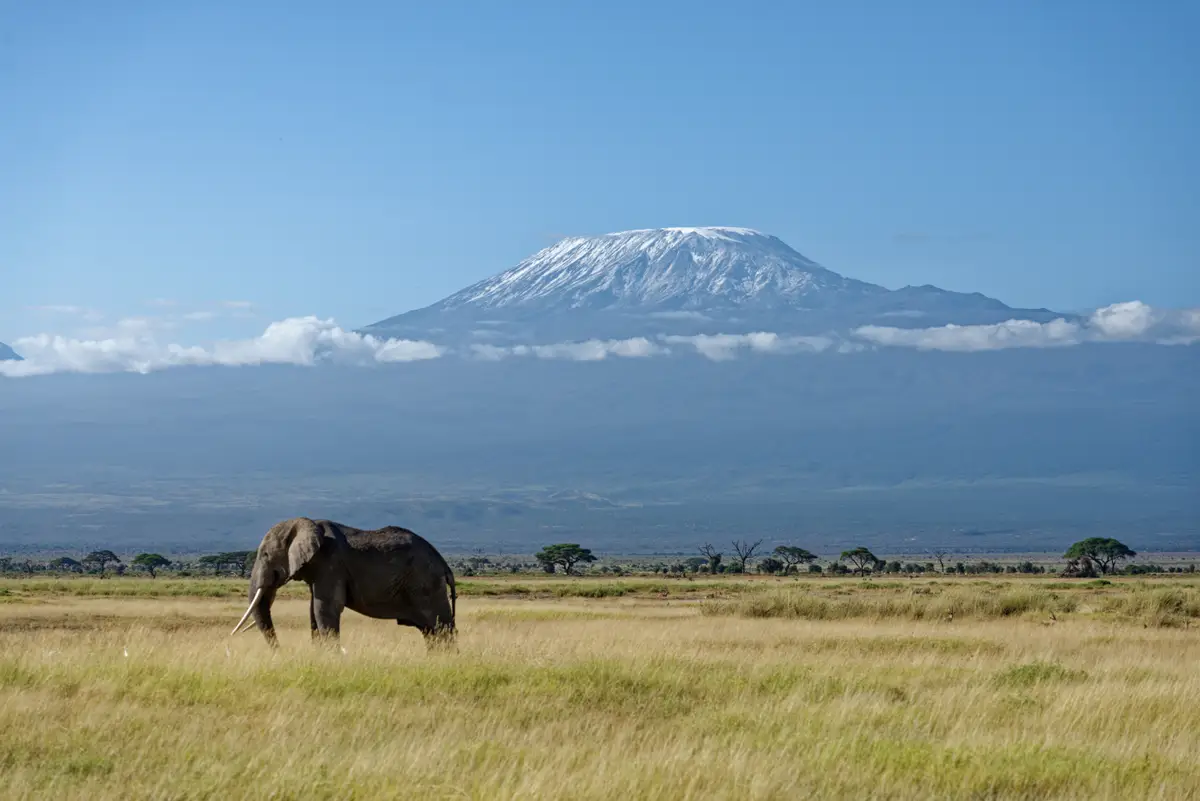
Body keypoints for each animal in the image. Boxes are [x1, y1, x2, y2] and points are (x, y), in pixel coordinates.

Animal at [230, 517, 456, 649]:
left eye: (265, 555)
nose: (281, 651)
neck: (308, 522)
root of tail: (444, 563)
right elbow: (313, 612)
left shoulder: (331, 564)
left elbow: (324, 609)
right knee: (432, 631)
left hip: (426, 584)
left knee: (440, 627)